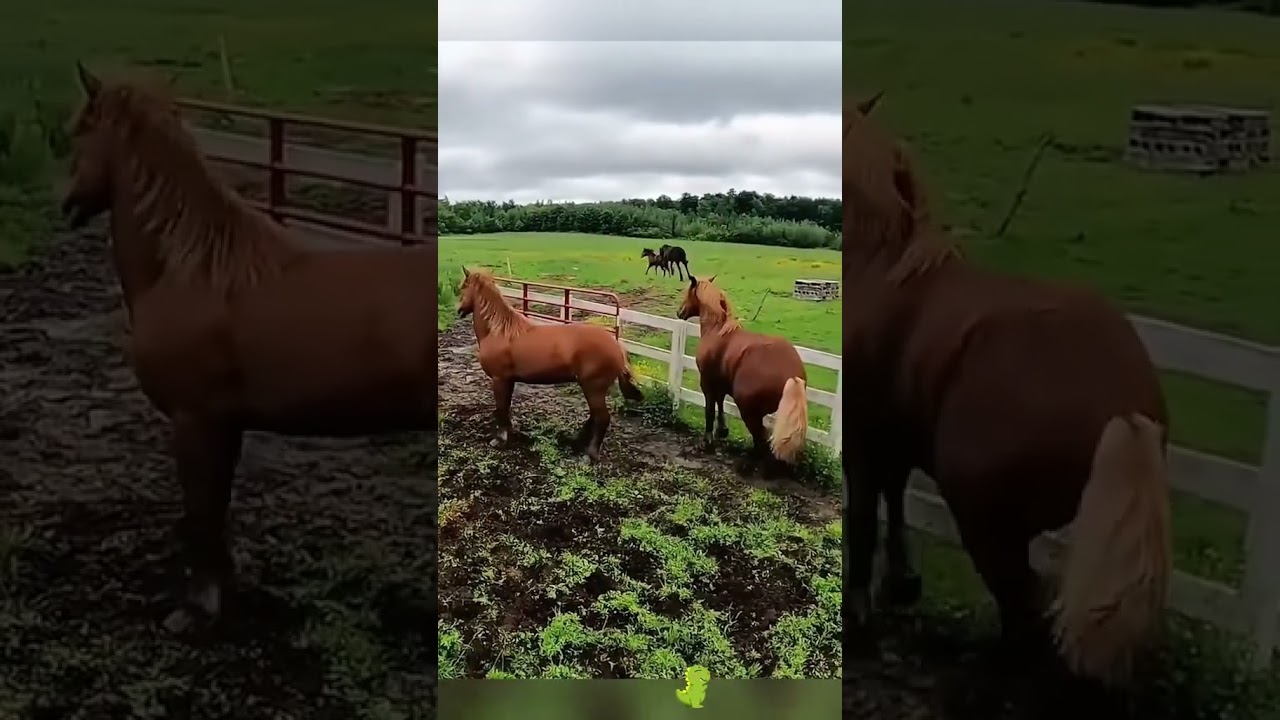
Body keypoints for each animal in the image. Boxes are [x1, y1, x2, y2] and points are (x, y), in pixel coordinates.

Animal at [60, 64, 438, 635]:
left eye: (83, 128)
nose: (69, 203)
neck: (193, 270)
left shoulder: (194, 421)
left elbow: (201, 513)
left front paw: (197, 610)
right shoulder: (224, 424)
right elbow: (216, 510)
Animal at [455, 267, 644, 462]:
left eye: (463, 287)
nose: (459, 310)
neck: (499, 331)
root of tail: (618, 346)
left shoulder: (499, 379)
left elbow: (501, 409)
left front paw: (499, 439)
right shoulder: (508, 380)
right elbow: (506, 407)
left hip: (594, 387)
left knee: (602, 418)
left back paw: (589, 455)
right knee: (594, 416)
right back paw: (577, 440)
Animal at [676, 275, 808, 477]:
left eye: (688, 292)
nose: (679, 312)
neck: (717, 330)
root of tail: (792, 375)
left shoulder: (707, 382)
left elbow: (709, 409)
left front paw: (707, 441)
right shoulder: (721, 383)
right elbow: (720, 403)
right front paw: (722, 431)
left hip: (748, 410)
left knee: (761, 437)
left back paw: (751, 467)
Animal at [843, 91, 1170, 715]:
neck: (879, 266)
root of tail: (1123, 401)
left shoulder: (864, 440)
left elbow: (863, 520)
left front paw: (860, 621)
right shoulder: (896, 441)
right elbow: (894, 504)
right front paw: (902, 584)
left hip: (987, 524)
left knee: (1026, 618)